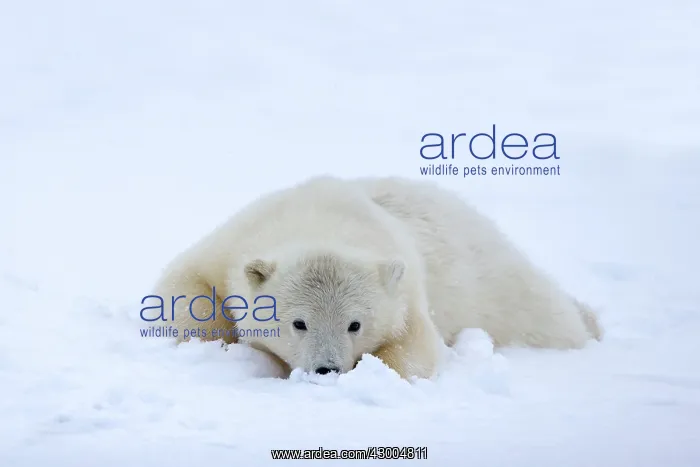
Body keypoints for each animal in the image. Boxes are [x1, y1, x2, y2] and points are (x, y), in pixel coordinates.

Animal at [149, 175, 602, 380]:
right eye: (298, 322)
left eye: (355, 324)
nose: (326, 370)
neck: (319, 216)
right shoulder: (229, 245)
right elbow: (183, 294)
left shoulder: (404, 288)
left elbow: (414, 347)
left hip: (496, 287)